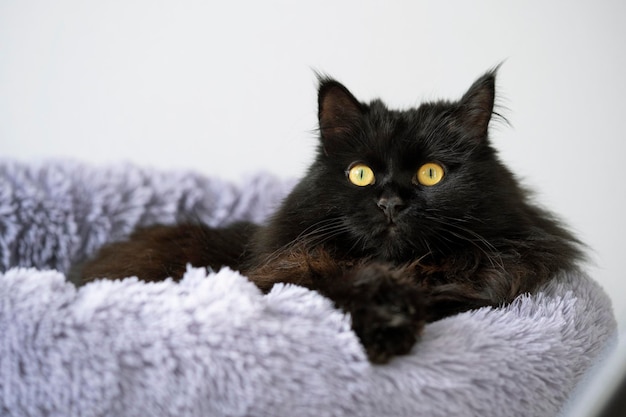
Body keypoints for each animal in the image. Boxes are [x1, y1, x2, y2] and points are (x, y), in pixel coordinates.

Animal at [80, 70, 584, 362]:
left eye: (431, 173)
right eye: (361, 174)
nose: (390, 203)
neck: (401, 270)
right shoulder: (285, 277)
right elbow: (339, 286)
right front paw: (387, 323)